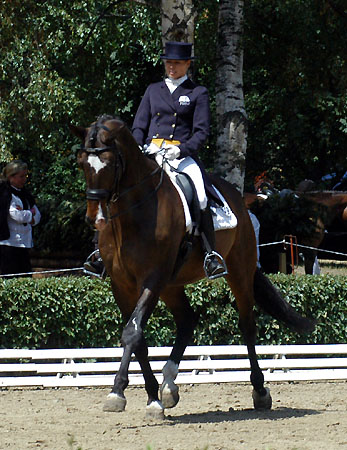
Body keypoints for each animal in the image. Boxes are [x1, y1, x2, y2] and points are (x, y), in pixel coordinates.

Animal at [69, 115, 316, 418]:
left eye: (110, 163)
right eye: (82, 162)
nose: (95, 219)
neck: (133, 214)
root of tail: (239, 197)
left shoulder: (152, 278)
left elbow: (132, 332)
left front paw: (117, 392)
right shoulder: (122, 283)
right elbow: (137, 338)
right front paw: (152, 398)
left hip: (238, 271)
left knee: (247, 324)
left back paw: (259, 391)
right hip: (172, 285)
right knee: (187, 321)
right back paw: (168, 385)